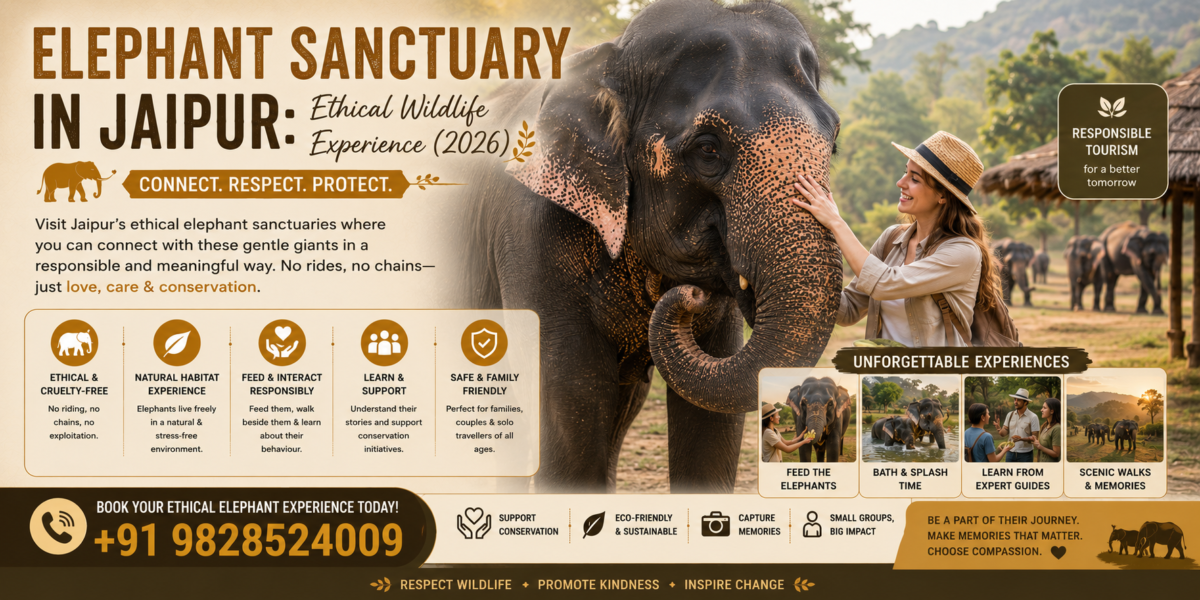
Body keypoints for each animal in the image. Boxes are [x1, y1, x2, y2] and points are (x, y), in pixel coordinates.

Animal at [457, 0, 842, 492]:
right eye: (708, 149)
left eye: (833, 144)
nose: (689, 295)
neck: (609, 59)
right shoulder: (531, 226)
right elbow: (570, 391)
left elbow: (711, 424)